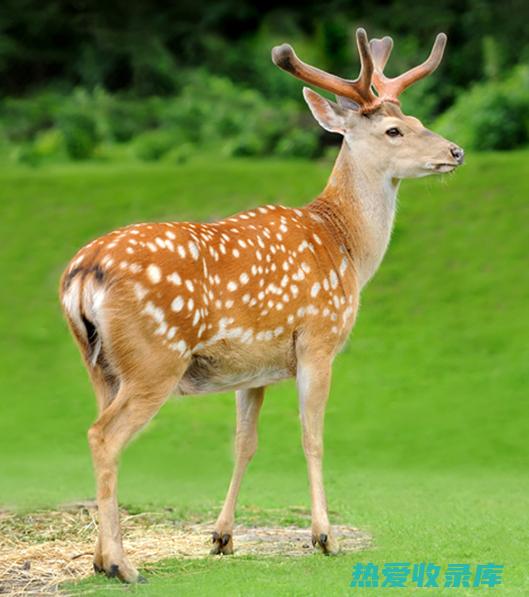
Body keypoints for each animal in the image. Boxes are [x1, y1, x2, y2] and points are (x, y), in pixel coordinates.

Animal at [58, 29, 462, 584]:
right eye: (395, 130)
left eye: (419, 120)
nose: (455, 150)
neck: (345, 246)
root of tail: (83, 273)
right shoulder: (318, 338)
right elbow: (313, 435)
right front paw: (324, 537)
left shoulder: (254, 367)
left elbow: (244, 443)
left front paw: (222, 537)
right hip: (154, 358)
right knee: (104, 436)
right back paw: (122, 564)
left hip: (100, 365)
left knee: (100, 431)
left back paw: (101, 559)